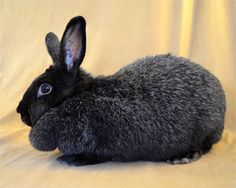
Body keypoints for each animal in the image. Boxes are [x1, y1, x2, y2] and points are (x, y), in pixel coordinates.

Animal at [15, 16, 226, 166]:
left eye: (45, 88)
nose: (20, 112)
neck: (79, 94)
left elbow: (95, 156)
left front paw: (71, 160)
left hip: (206, 128)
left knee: (205, 146)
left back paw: (183, 157)